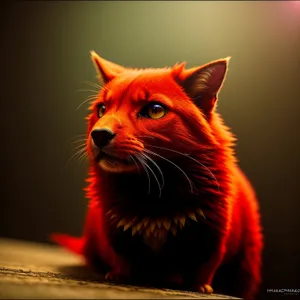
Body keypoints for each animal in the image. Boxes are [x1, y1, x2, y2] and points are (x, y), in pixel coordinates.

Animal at [51, 51, 262, 298]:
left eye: (155, 110)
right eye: (102, 109)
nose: (99, 135)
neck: (152, 193)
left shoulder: (214, 233)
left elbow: (205, 264)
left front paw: (199, 286)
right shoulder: (114, 231)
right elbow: (121, 257)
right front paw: (119, 275)